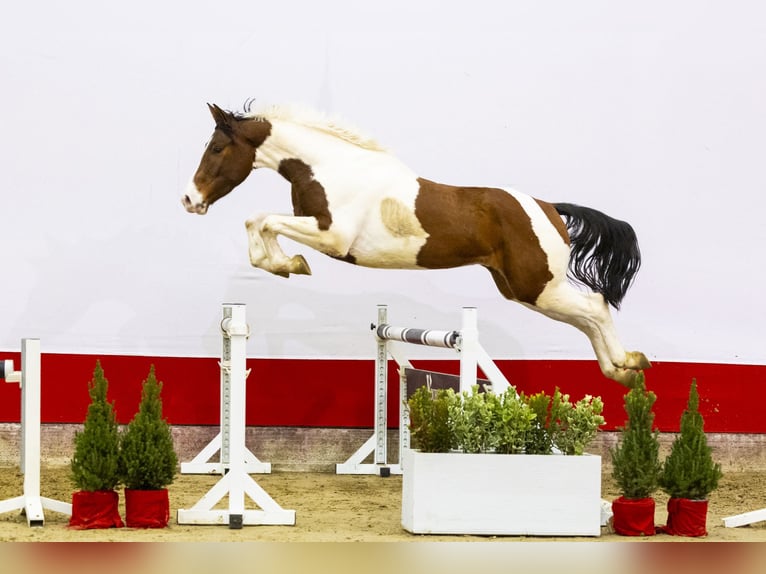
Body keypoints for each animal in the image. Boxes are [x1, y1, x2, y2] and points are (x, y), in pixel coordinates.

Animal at [183, 106, 652, 390]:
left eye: (218, 147)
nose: (190, 200)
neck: (327, 167)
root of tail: (550, 208)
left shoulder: (332, 237)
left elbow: (261, 220)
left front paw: (289, 264)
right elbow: (259, 222)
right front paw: (285, 264)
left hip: (537, 285)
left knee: (595, 307)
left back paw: (627, 365)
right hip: (523, 289)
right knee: (586, 317)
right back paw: (623, 370)